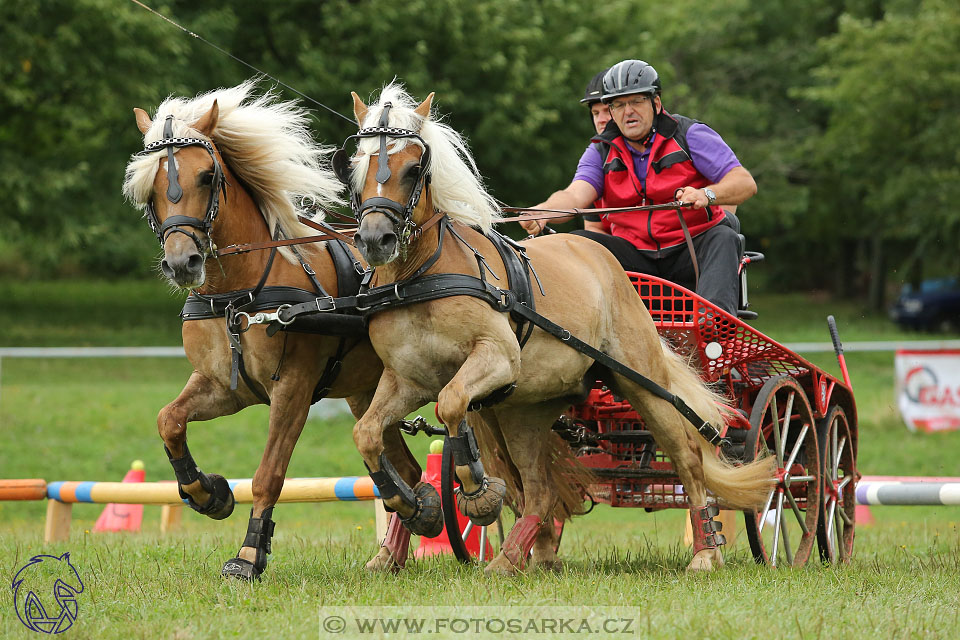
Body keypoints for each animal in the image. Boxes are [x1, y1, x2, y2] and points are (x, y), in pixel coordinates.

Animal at [121, 80, 424, 580]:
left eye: (207, 176)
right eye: (148, 188)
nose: (183, 263)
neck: (238, 293)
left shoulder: (293, 389)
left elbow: (268, 475)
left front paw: (249, 554)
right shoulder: (225, 385)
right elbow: (169, 420)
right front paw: (208, 493)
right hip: (368, 391)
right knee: (406, 464)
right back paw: (402, 540)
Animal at [342, 82, 776, 572]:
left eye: (415, 167)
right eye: (356, 165)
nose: (375, 240)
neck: (421, 276)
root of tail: (605, 261)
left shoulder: (496, 357)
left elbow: (451, 405)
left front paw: (476, 492)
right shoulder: (406, 380)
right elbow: (367, 434)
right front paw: (414, 506)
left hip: (642, 384)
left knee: (688, 456)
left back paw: (706, 550)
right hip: (525, 411)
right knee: (538, 488)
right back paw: (514, 559)